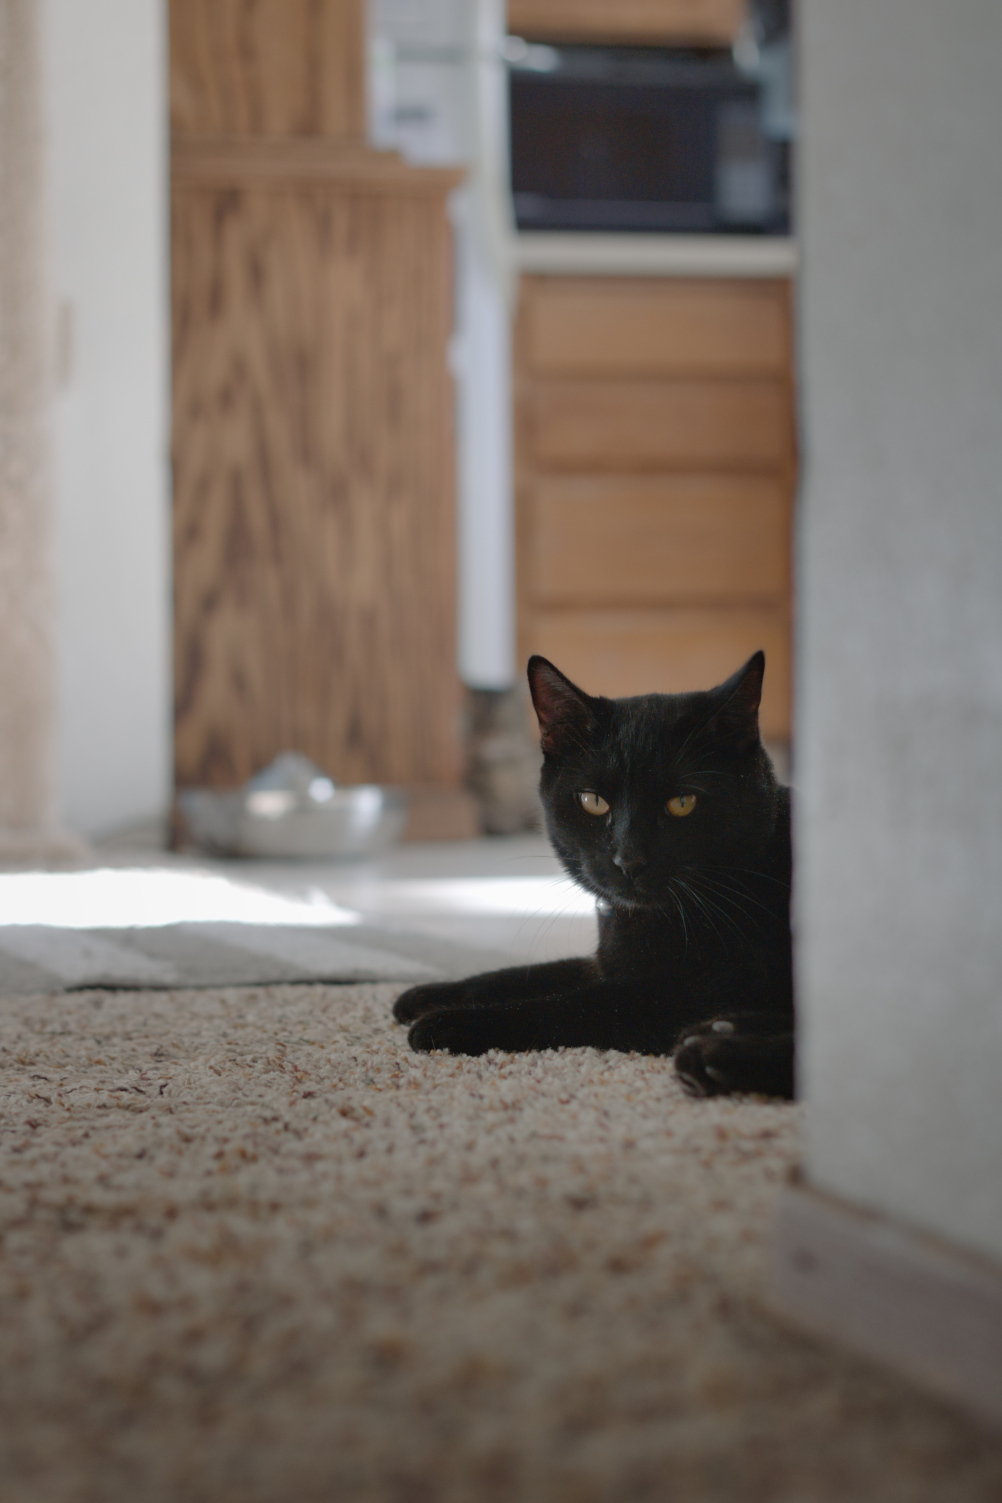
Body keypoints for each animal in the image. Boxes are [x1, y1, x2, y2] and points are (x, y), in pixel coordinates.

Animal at [396, 652, 793, 1100]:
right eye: (593, 801)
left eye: (682, 803)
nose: (628, 859)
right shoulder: (605, 964)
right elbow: (526, 974)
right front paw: (430, 995)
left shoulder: (688, 990)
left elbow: (573, 1005)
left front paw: (450, 1022)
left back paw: (713, 1055)